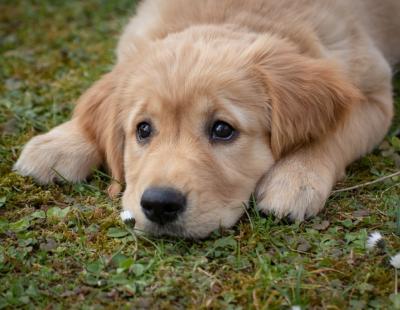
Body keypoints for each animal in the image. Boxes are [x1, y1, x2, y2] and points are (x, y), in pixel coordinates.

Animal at [14, 0, 398, 237]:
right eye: (143, 129)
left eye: (222, 130)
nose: (159, 205)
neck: (233, 13)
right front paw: (60, 143)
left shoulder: (375, 94)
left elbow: (334, 132)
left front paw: (296, 178)